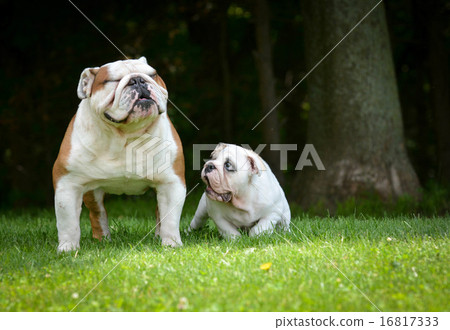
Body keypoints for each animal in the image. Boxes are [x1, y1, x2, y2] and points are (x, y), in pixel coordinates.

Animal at [51, 57, 185, 253]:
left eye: (152, 74)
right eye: (112, 80)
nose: (138, 80)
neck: (125, 135)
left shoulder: (171, 183)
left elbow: (170, 219)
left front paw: (171, 244)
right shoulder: (67, 184)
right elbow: (68, 223)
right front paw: (68, 248)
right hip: (92, 192)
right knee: (98, 214)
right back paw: (103, 240)